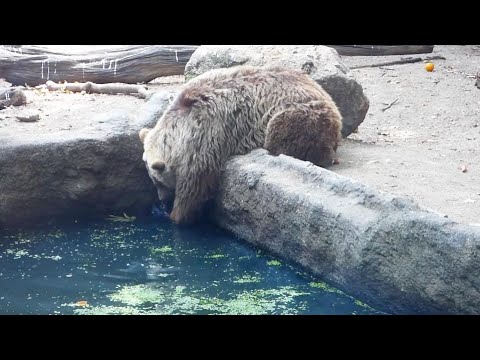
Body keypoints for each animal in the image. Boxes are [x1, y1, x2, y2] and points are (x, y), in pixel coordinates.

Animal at [139, 64, 342, 222]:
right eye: (153, 180)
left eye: (158, 182)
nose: (161, 199)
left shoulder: (207, 133)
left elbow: (197, 183)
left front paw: (177, 214)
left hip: (296, 113)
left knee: (284, 135)